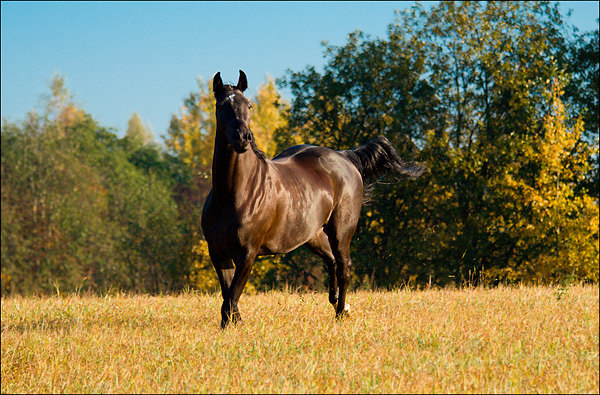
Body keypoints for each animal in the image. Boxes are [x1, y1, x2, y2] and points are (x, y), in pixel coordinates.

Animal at [199, 70, 424, 328]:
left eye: (249, 105)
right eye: (221, 106)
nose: (243, 138)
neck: (234, 193)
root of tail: (344, 157)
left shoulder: (248, 253)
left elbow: (232, 296)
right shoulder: (218, 253)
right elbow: (228, 295)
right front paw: (232, 326)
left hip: (341, 231)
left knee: (344, 267)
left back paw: (341, 312)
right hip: (312, 235)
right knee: (332, 262)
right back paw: (339, 304)